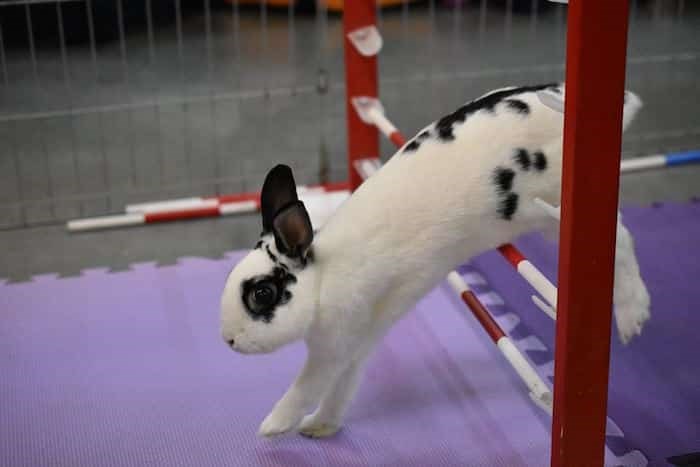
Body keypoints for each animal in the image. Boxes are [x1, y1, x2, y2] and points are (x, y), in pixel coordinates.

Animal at [220, 83, 652, 438]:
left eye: (262, 294)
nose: (229, 341)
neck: (324, 279)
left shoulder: (334, 345)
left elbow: (307, 384)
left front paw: (273, 426)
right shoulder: (359, 342)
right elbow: (343, 386)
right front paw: (320, 427)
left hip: (555, 209)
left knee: (621, 239)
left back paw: (633, 316)